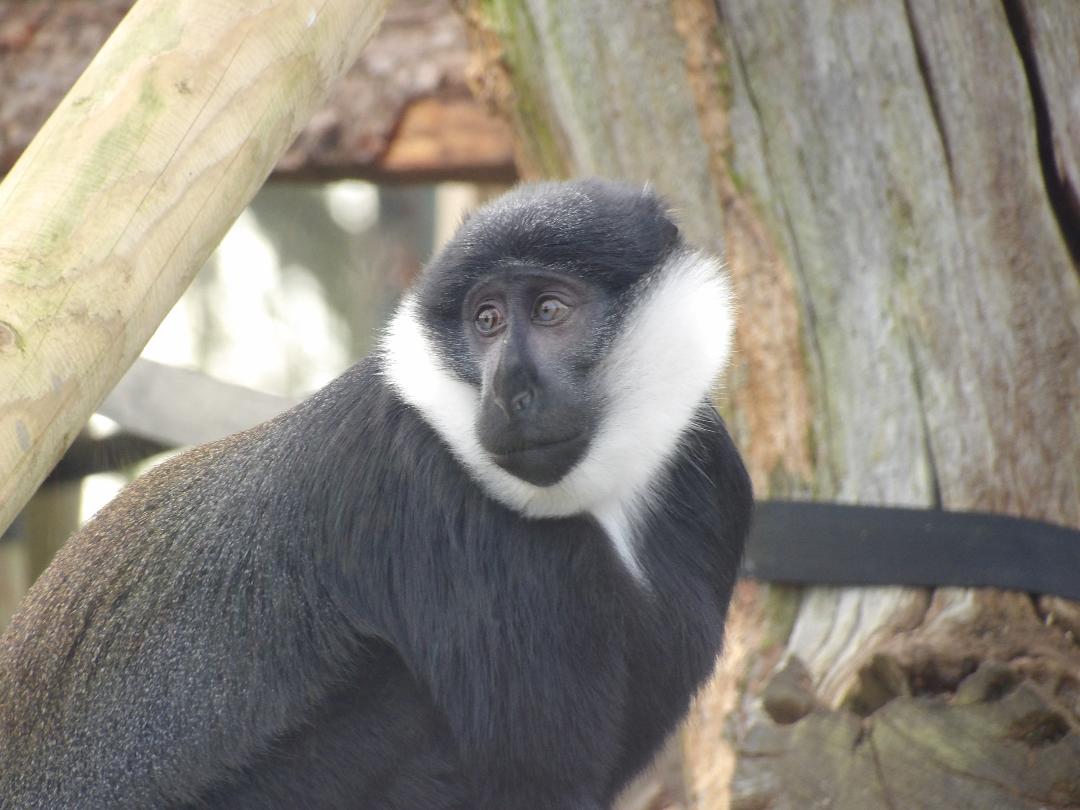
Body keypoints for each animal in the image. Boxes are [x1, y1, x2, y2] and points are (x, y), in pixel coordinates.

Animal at [0, 178, 752, 809]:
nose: (508, 389)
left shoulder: (717, 478)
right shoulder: (440, 504)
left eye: (549, 309)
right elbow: (533, 782)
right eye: (485, 320)